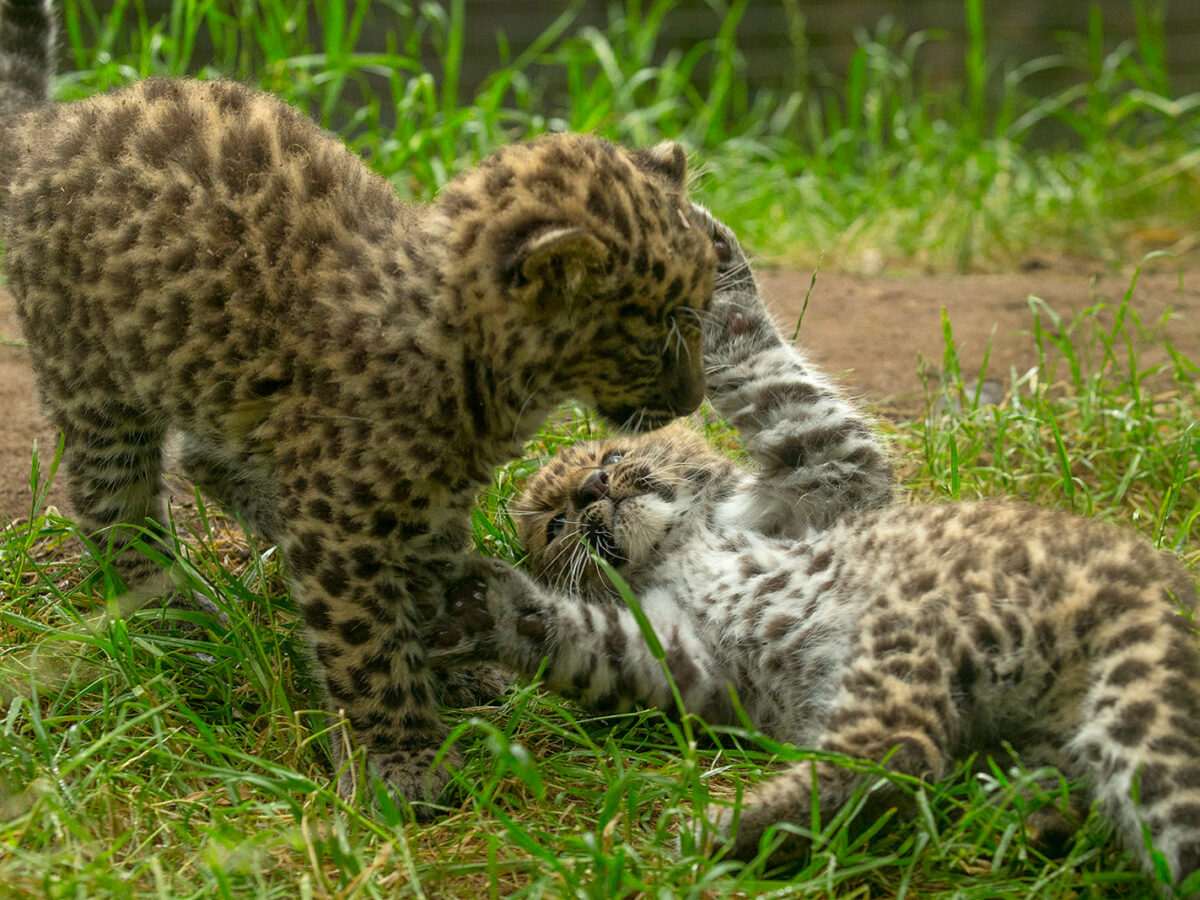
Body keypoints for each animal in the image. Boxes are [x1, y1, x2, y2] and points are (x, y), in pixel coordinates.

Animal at [0, 0, 718, 809]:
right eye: (656, 335)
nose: (694, 397)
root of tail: (50, 123)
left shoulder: (429, 503)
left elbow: (429, 589)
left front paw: (459, 666)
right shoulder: (343, 525)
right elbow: (365, 643)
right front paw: (403, 761)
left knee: (204, 456)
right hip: (92, 380)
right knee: (112, 507)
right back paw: (176, 618)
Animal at [419, 210, 1200, 892]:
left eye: (611, 456)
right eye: (553, 526)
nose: (590, 492)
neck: (680, 547)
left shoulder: (831, 467)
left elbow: (760, 363)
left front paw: (708, 254)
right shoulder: (688, 659)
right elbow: (586, 640)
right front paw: (481, 608)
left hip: (934, 630)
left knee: (901, 753)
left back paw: (719, 829)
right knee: (906, 755)